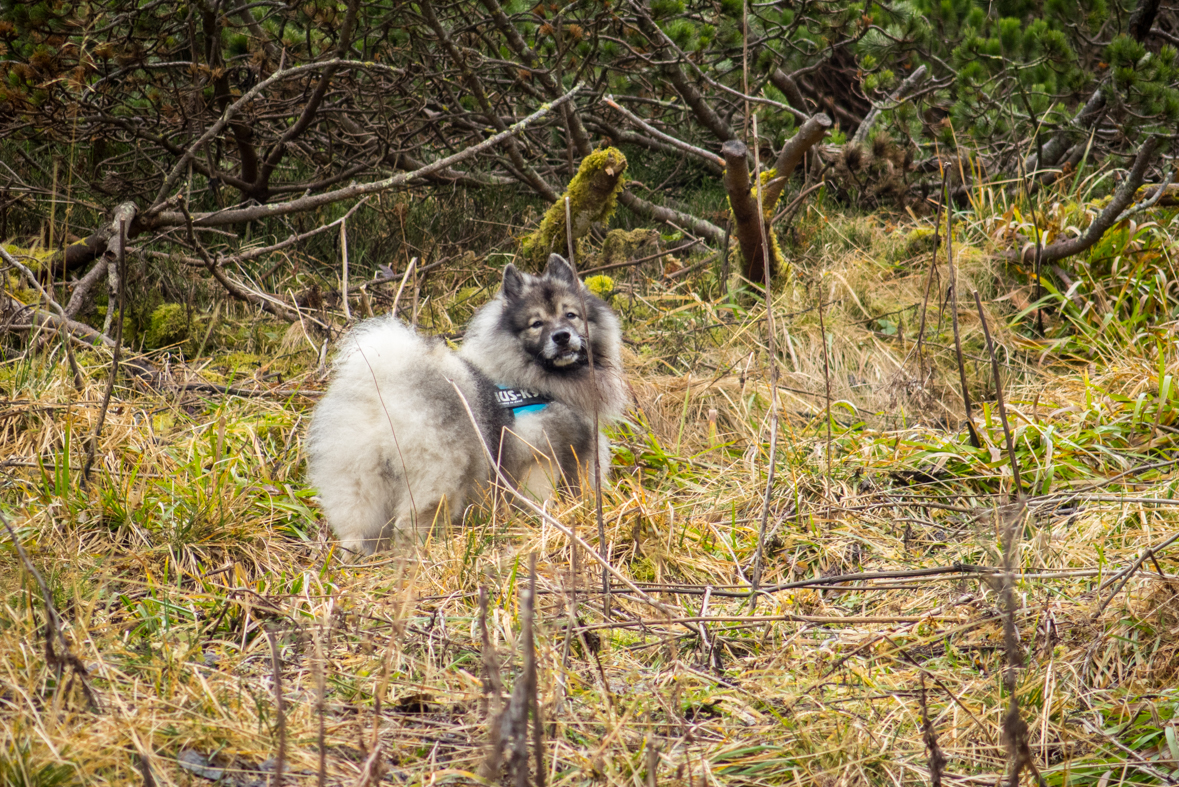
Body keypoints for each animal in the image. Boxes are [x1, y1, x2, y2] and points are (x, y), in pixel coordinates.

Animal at [308, 252, 631, 553]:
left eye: (571, 315)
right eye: (536, 324)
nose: (562, 337)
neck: (536, 380)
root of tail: (386, 393)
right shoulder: (539, 457)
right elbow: (540, 497)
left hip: (361, 482)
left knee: (358, 526)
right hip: (438, 481)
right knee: (412, 526)